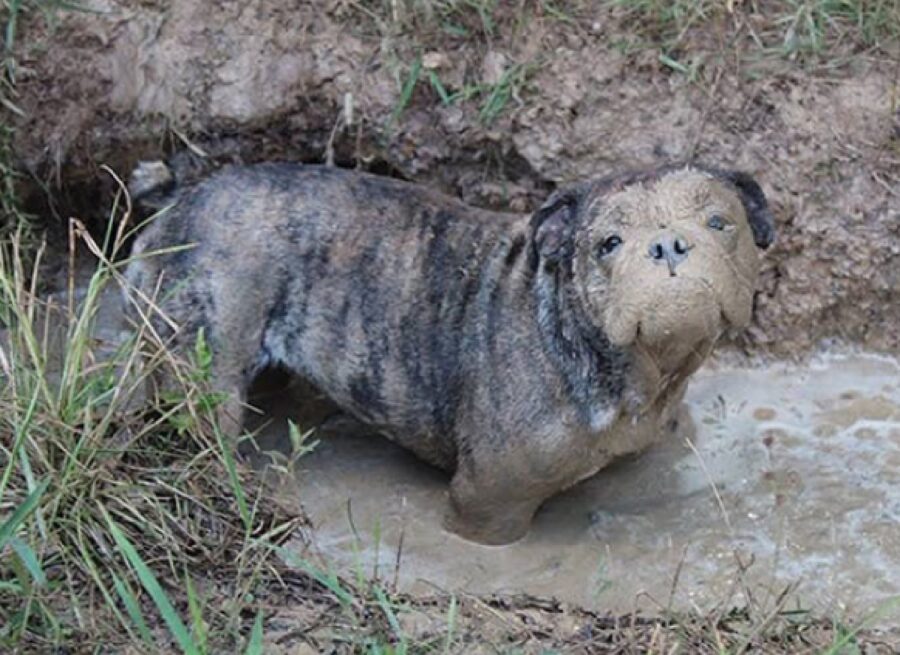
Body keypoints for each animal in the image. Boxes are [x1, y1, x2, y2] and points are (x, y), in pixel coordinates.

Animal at [125, 161, 772, 544]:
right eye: (607, 244)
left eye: (721, 222)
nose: (668, 244)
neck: (645, 372)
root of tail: (181, 195)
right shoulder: (487, 503)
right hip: (204, 360)